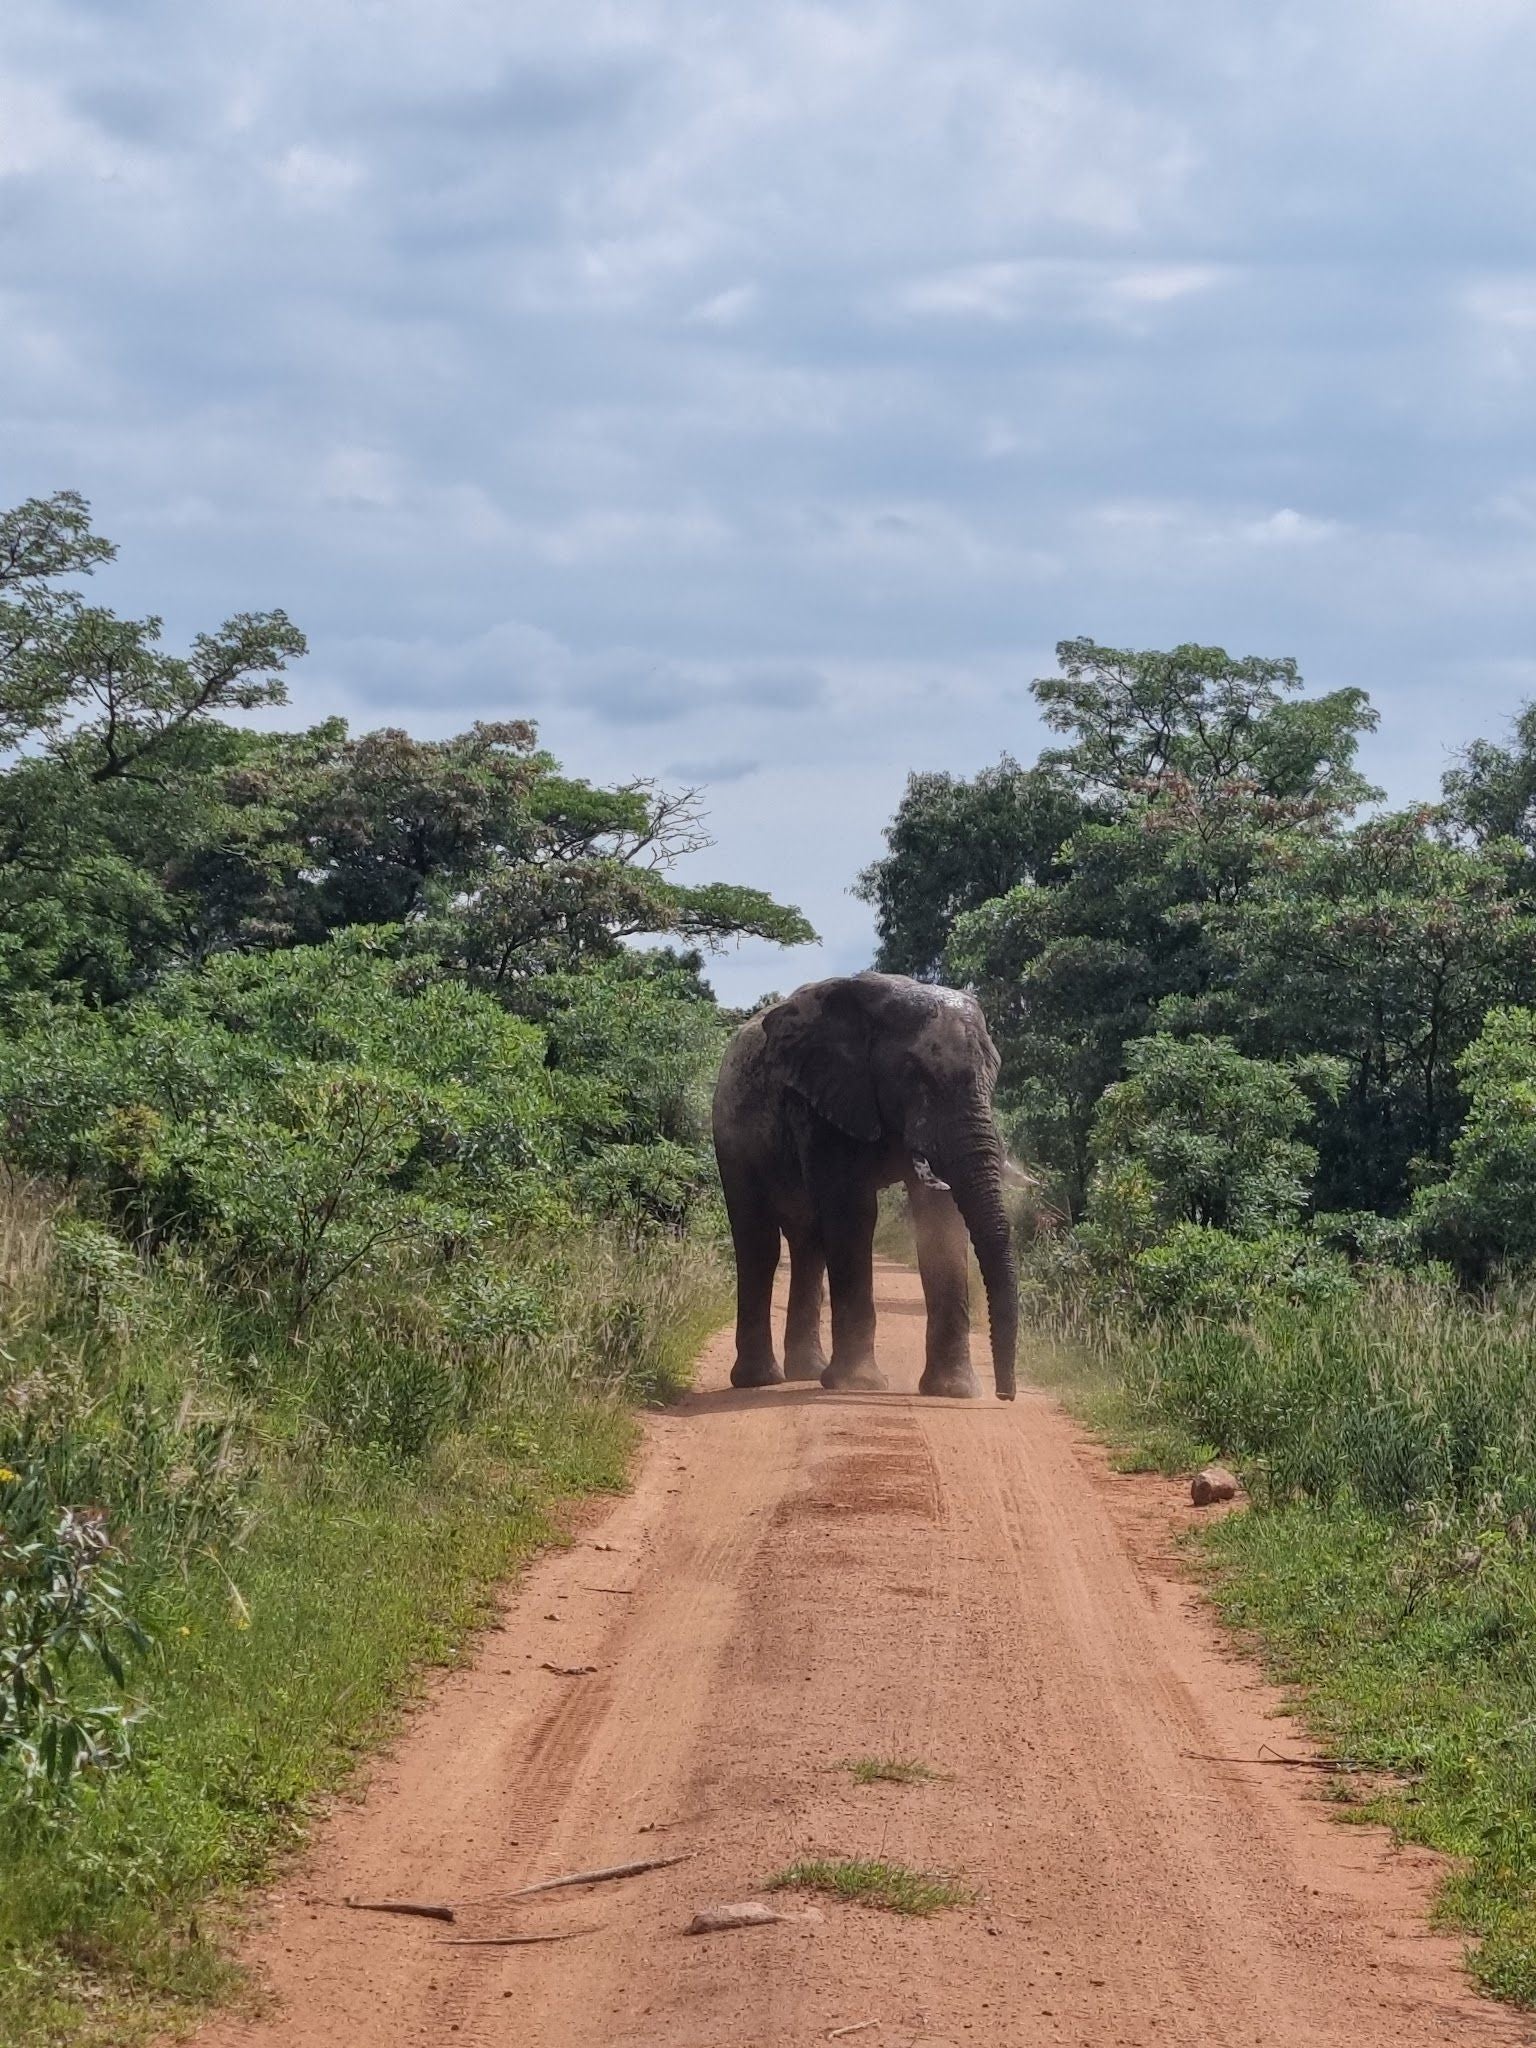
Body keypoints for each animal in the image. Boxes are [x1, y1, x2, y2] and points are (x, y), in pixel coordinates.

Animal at [712, 970, 1024, 1392]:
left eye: (993, 1075)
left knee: (808, 1243)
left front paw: (955, 1392)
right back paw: (760, 1381)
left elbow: (941, 1220)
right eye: (913, 1074)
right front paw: (858, 1385)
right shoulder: (823, 1100)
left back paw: (806, 1372)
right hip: (731, 1133)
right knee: (758, 1244)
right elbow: (853, 1212)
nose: (1005, 1394)